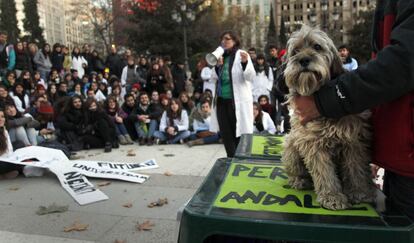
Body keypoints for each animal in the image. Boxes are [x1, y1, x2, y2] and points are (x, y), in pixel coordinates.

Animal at [282, 25, 376, 210]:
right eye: (295, 50)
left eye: (317, 46)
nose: (303, 60)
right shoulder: (313, 144)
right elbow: (324, 173)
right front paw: (332, 196)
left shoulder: (353, 141)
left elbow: (356, 168)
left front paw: (359, 191)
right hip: (291, 143)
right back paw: (299, 180)